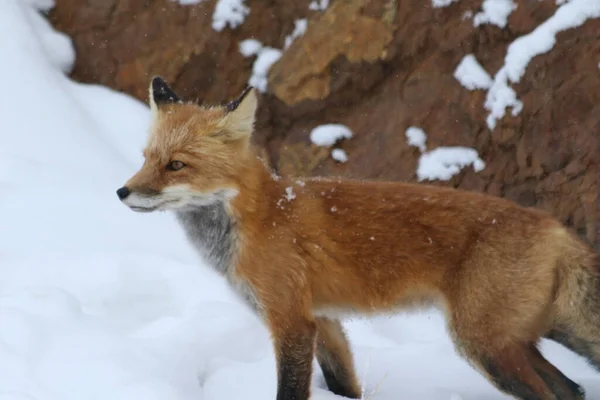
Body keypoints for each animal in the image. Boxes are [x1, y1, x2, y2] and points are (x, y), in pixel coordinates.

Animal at [116, 77, 596, 400]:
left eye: (176, 165)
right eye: (146, 158)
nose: (122, 192)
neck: (258, 218)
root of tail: (554, 225)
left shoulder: (291, 321)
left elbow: (291, 390)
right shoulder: (325, 321)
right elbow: (344, 384)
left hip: (485, 346)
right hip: (527, 337)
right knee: (572, 390)